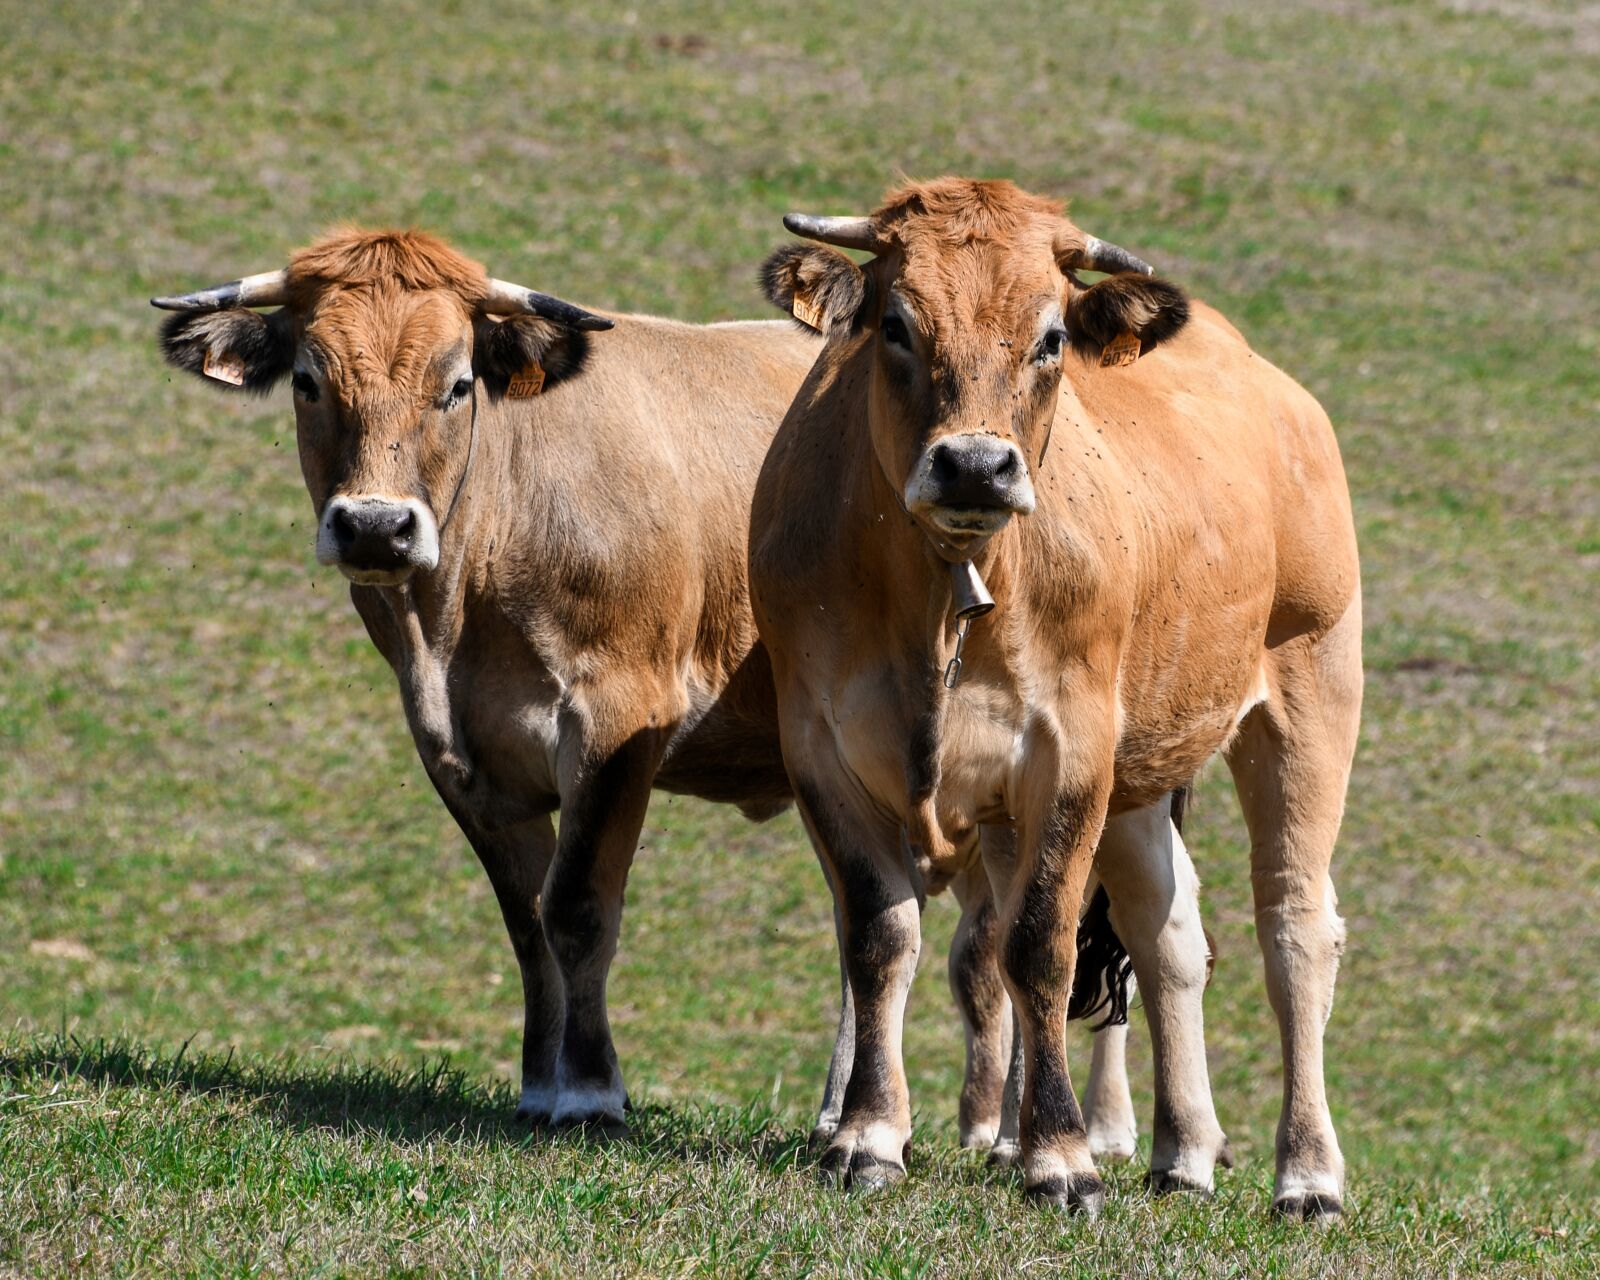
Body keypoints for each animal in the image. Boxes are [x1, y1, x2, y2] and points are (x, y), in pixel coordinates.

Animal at [151, 228, 1155, 1148]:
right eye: (309, 381)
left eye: (457, 384)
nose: (373, 526)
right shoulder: (463, 755)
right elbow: (527, 923)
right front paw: (538, 1082)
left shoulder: (618, 720)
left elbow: (578, 906)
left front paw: (590, 1091)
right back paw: (859, 1114)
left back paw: (1036, 1131)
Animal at [751, 178, 1360, 1219]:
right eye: (897, 325)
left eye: (1049, 338)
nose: (973, 465)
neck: (946, 593)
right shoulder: (820, 744)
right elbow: (879, 936)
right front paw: (868, 1137)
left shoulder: (1068, 751)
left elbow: (1039, 944)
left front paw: (1059, 1155)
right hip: (1142, 766)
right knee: (1167, 932)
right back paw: (1183, 1152)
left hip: (1309, 692)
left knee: (1294, 927)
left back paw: (1308, 1175)